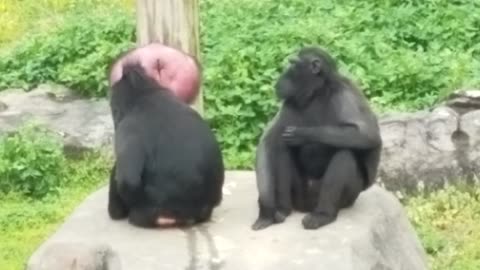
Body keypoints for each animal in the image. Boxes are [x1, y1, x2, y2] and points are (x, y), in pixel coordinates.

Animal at [251, 46, 382, 230]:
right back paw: (283, 209)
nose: (283, 73)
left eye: (293, 64)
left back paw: (322, 215)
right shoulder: (288, 104)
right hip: (299, 195)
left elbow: (367, 133)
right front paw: (266, 208)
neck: (317, 93)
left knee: (345, 153)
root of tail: (307, 207)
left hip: (347, 198)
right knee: (282, 147)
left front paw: (303, 134)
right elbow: (267, 142)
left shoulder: (346, 92)